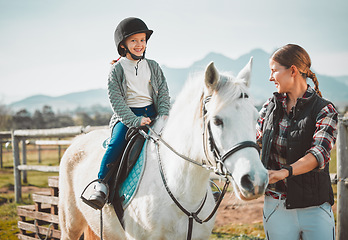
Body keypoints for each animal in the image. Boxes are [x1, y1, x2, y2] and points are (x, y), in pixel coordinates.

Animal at [58, 58, 268, 240]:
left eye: (256, 118)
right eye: (217, 121)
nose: (255, 180)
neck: (180, 188)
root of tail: (77, 140)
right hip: (70, 227)